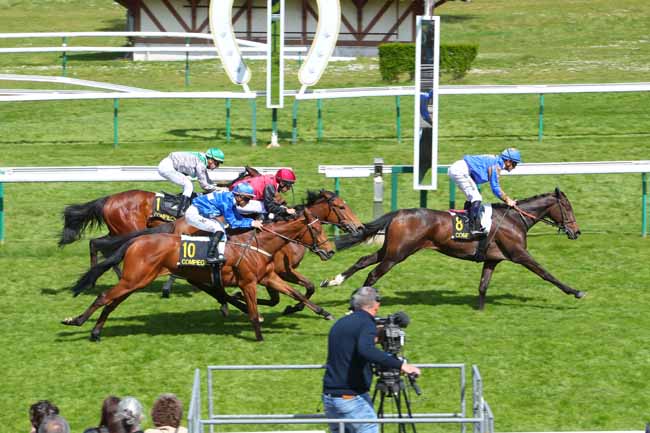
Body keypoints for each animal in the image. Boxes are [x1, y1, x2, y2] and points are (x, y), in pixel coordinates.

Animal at [62, 209, 335, 341]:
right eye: (318, 230)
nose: (330, 250)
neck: (260, 243)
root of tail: (136, 241)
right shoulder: (248, 282)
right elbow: (254, 311)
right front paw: (258, 336)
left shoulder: (270, 277)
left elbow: (299, 294)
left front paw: (325, 313)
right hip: (134, 279)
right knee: (104, 297)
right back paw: (75, 321)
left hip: (136, 281)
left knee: (111, 302)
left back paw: (95, 332)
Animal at [90, 190, 363, 309]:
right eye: (341, 207)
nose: (359, 227)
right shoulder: (280, 271)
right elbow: (285, 294)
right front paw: (245, 299)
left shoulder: (278, 272)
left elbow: (307, 287)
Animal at [321, 188, 585, 310]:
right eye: (568, 208)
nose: (576, 231)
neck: (514, 220)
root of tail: (399, 213)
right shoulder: (519, 254)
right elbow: (546, 273)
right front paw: (575, 291)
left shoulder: (492, 259)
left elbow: (483, 284)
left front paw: (480, 310)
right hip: (397, 254)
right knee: (373, 273)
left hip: (392, 250)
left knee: (363, 261)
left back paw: (334, 281)